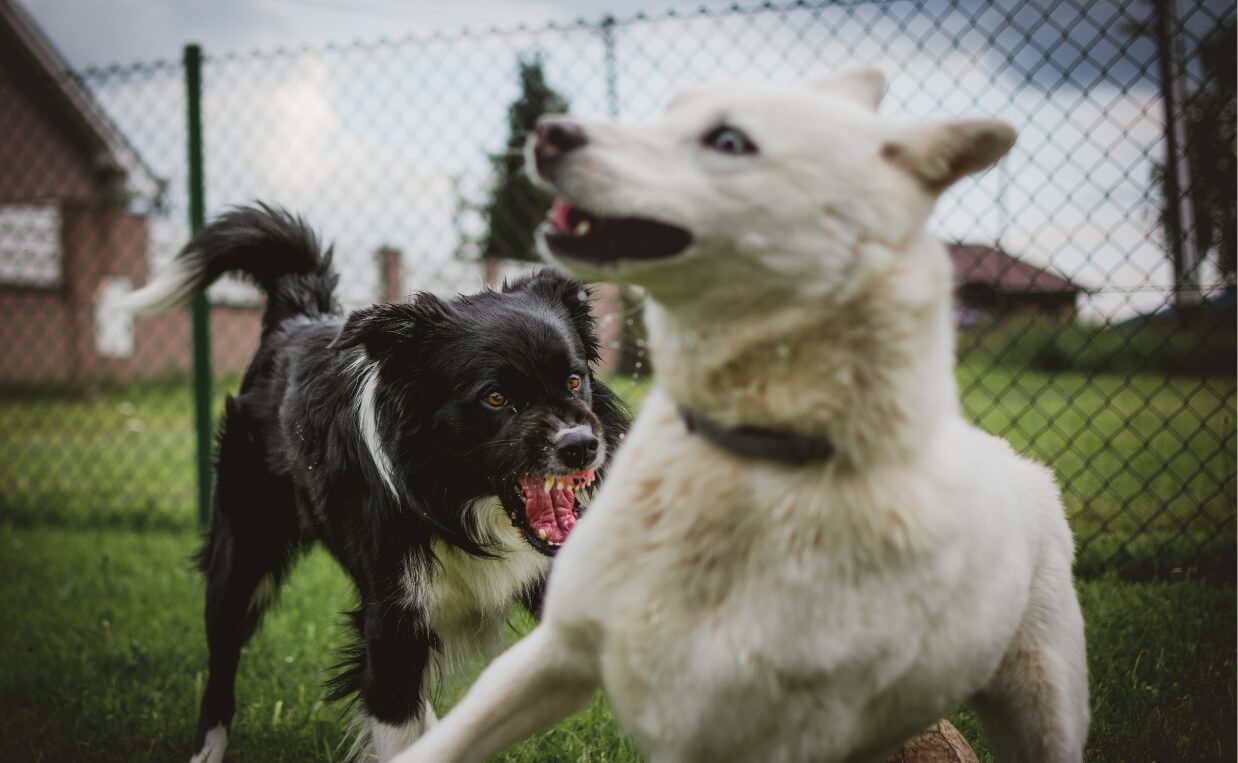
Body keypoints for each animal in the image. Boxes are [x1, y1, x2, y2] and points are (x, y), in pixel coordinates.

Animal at [115, 205, 623, 758]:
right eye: (495, 397)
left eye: (574, 379)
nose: (581, 446)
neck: (459, 503)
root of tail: (298, 316)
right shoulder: (392, 624)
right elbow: (396, 721)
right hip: (243, 550)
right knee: (222, 658)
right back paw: (207, 749)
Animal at [393, 68, 1084, 758]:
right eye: (671, 108)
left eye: (729, 140)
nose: (550, 131)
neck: (739, 466)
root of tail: (1018, 462)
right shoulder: (556, 650)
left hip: (1041, 702)